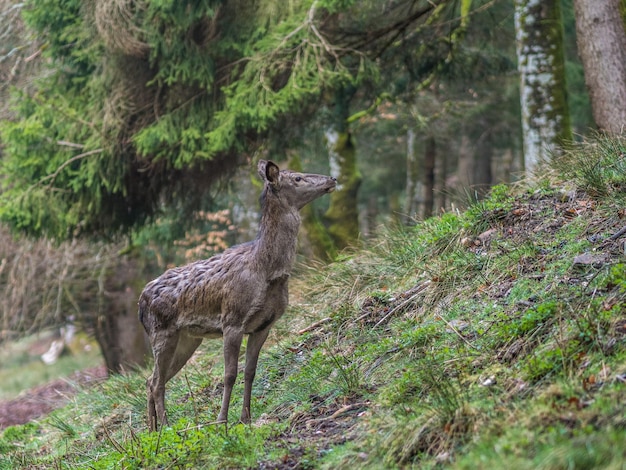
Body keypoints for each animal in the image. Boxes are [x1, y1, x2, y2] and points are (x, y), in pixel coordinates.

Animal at [138, 161, 334, 430]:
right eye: (297, 178)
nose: (332, 179)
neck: (266, 271)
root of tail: (140, 302)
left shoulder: (264, 325)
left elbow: (250, 371)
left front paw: (246, 417)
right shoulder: (232, 319)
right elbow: (229, 374)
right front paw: (222, 420)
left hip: (188, 338)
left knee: (152, 380)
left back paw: (152, 430)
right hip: (161, 333)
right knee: (157, 382)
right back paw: (165, 427)